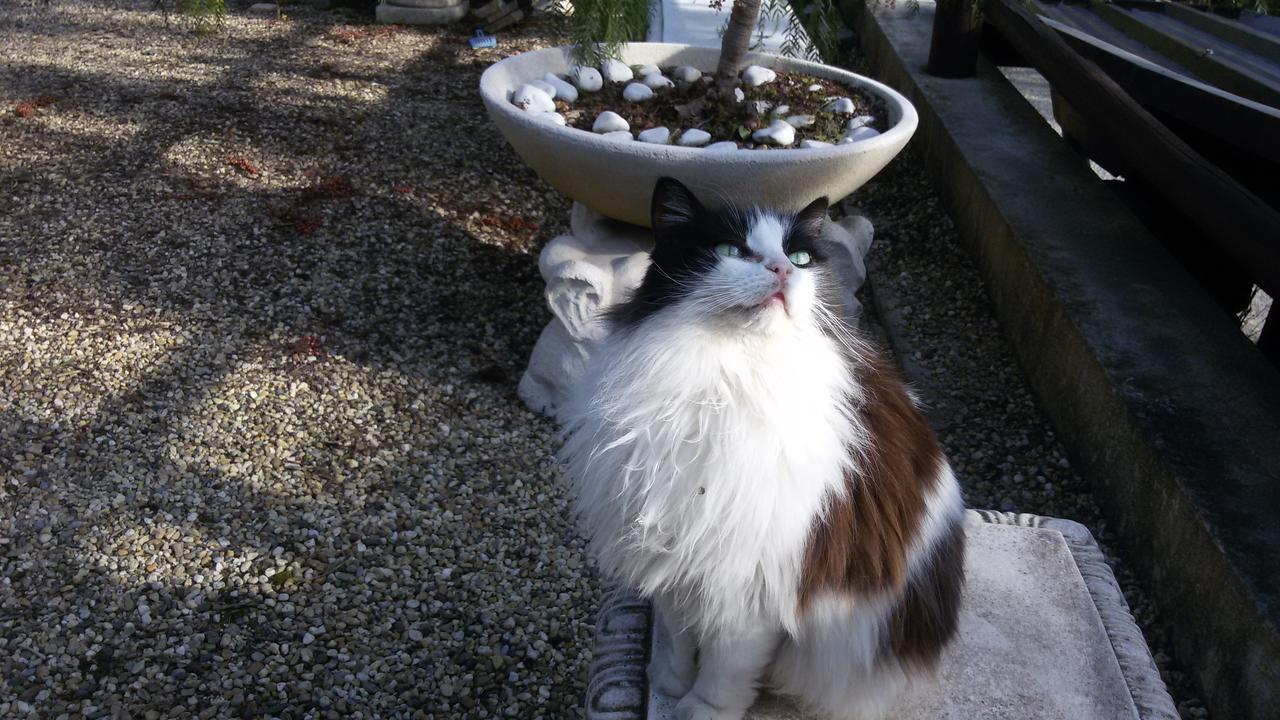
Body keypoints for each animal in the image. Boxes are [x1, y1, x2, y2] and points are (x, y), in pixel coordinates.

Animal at [558, 176, 962, 712]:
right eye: (731, 251)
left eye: (801, 257)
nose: (783, 269)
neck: (724, 379)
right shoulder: (674, 543)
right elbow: (678, 636)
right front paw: (668, 683)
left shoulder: (752, 578)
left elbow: (724, 670)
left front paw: (698, 710)